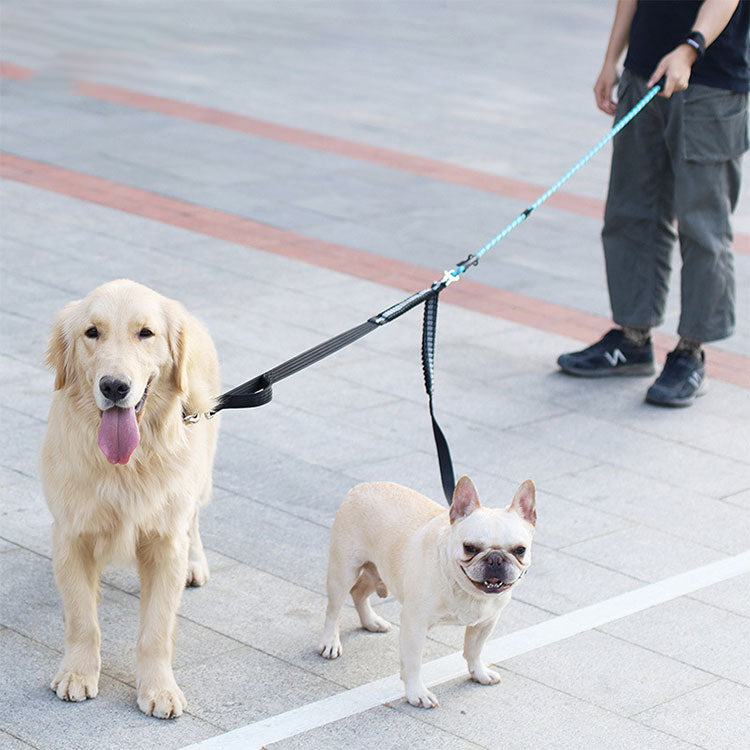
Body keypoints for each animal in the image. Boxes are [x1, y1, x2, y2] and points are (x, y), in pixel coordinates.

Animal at [40, 280, 220, 720]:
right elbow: (82, 619)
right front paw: (77, 672)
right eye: (92, 332)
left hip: (199, 473)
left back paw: (195, 562)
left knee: (193, 519)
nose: (114, 387)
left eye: (146, 333)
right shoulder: (71, 536)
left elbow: (156, 628)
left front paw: (159, 688)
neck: (124, 466)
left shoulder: (165, 543)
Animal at [320, 478, 536, 708]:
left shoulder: (485, 622)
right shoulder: (415, 625)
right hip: (343, 571)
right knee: (334, 609)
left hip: (379, 570)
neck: (463, 588)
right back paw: (330, 642)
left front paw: (479, 672)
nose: (495, 559)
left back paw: (371, 621)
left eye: (520, 550)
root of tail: (362, 486)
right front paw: (417, 692)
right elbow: (413, 662)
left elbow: (474, 649)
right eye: (469, 548)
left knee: (359, 592)